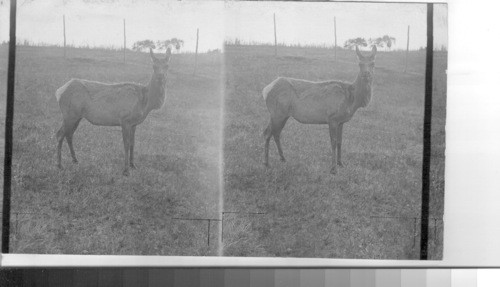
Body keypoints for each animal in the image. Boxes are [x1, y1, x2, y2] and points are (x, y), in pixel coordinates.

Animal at [57, 47, 172, 176]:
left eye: (167, 65)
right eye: (154, 66)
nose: (160, 77)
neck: (145, 102)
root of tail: (59, 91)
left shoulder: (134, 124)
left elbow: (133, 143)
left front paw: (133, 165)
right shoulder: (125, 120)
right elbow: (126, 144)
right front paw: (126, 170)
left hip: (77, 116)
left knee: (69, 134)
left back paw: (75, 160)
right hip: (69, 114)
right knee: (60, 134)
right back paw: (60, 165)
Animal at [262, 46, 376, 174]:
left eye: (373, 63)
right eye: (360, 64)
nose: (366, 74)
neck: (352, 100)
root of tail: (265, 90)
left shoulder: (341, 121)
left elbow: (340, 142)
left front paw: (341, 163)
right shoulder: (332, 118)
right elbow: (333, 142)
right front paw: (333, 168)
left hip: (282, 115)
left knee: (276, 133)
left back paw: (283, 158)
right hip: (277, 113)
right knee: (267, 133)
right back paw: (266, 163)